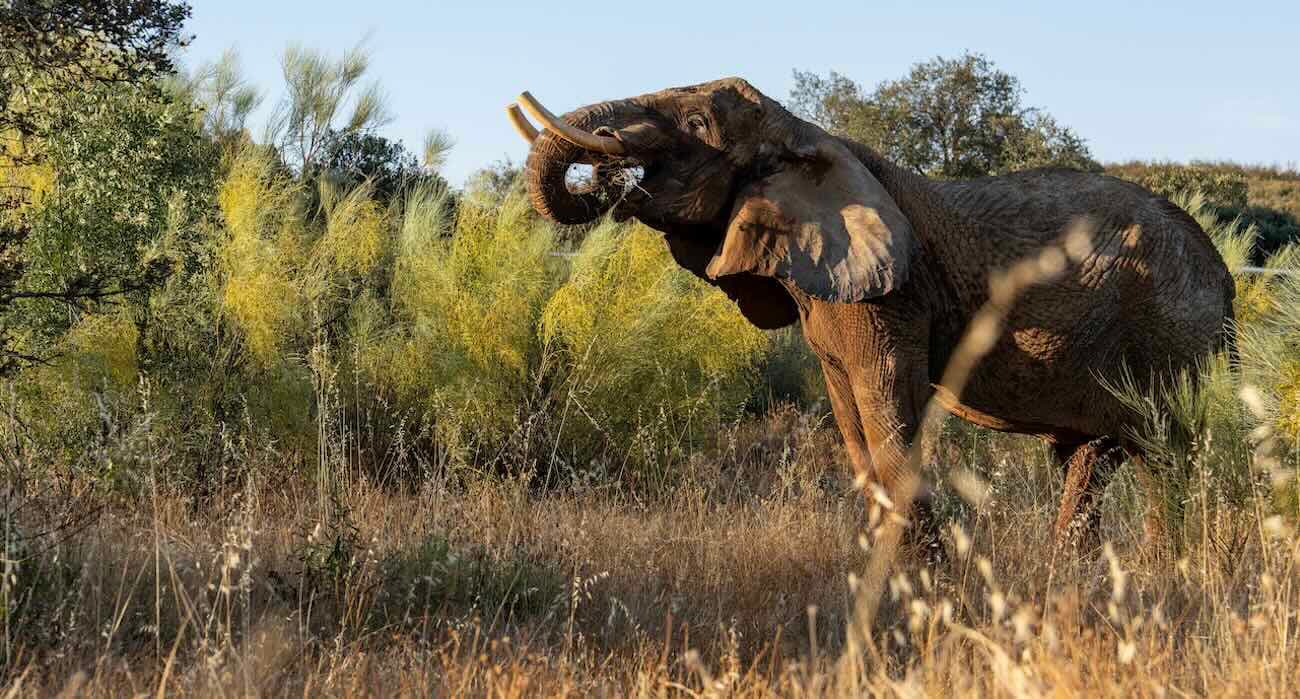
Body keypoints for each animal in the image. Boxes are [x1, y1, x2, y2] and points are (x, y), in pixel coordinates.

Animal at [505, 78, 1236, 553]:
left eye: (697, 127)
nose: (610, 170)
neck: (810, 136)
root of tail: (1224, 278)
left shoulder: (891, 297)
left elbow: (886, 406)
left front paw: (923, 581)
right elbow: (853, 422)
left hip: (1173, 337)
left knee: (1165, 457)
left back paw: (1170, 573)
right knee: (1091, 459)